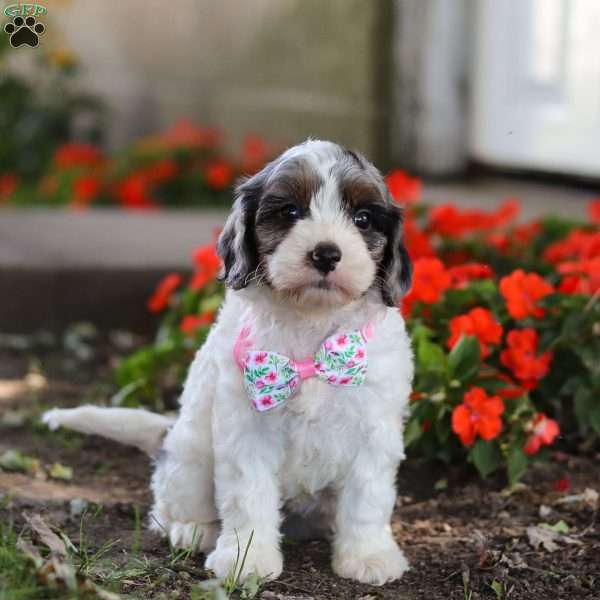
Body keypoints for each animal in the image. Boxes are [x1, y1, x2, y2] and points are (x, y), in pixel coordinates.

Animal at [44, 138, 414, 584]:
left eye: (363, 219)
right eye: (290, 212)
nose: (326, 254)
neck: (311, 327)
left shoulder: (373, 428)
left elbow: (366, 497)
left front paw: (367, 556)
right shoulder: (246, 427)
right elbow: (247, 495)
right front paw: (246, 559)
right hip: (191, 459)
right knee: (168, 507)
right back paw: (191, 530)